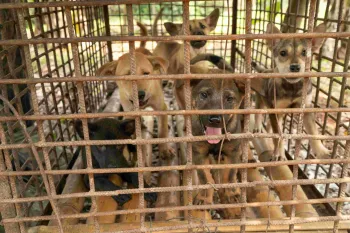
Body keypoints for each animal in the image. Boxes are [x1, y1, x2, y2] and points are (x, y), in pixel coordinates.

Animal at [95, 22, 174, 160]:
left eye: (146, 74)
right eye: (126, 77)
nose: (140, 94)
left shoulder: (161, 107)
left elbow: (163, 131)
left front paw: (164, 150)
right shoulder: (129, 112)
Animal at [250, 22, 330, 160]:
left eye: (304, 52)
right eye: (283, 53)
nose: (295, 67)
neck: (292, 87)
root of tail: (265, 70)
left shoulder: (306, 108)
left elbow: (313, 131)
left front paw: (322, 151)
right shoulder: (275, 109)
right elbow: (279, 136)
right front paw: (278, 154)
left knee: (271, 126)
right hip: (261, 100)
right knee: (258, 113)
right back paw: (258, 127)